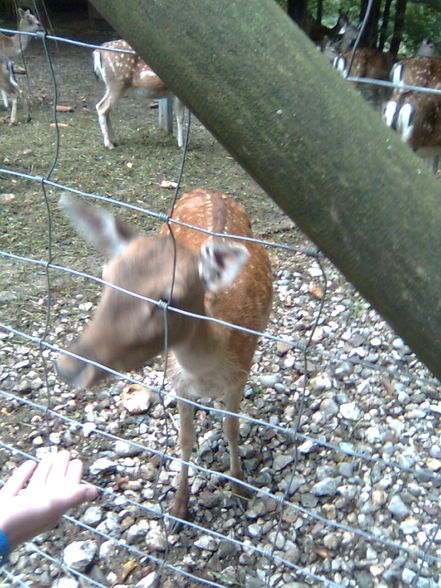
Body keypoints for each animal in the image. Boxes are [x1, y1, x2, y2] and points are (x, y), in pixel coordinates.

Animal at [55, 188, 272, 520]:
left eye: (168, 299)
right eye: (107, 276)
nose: (67, 367)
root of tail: (207, 190)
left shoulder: (240, 373)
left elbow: (231, 429)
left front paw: (238, 487)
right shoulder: (177, 380)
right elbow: (185, 439)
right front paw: (179, 506)